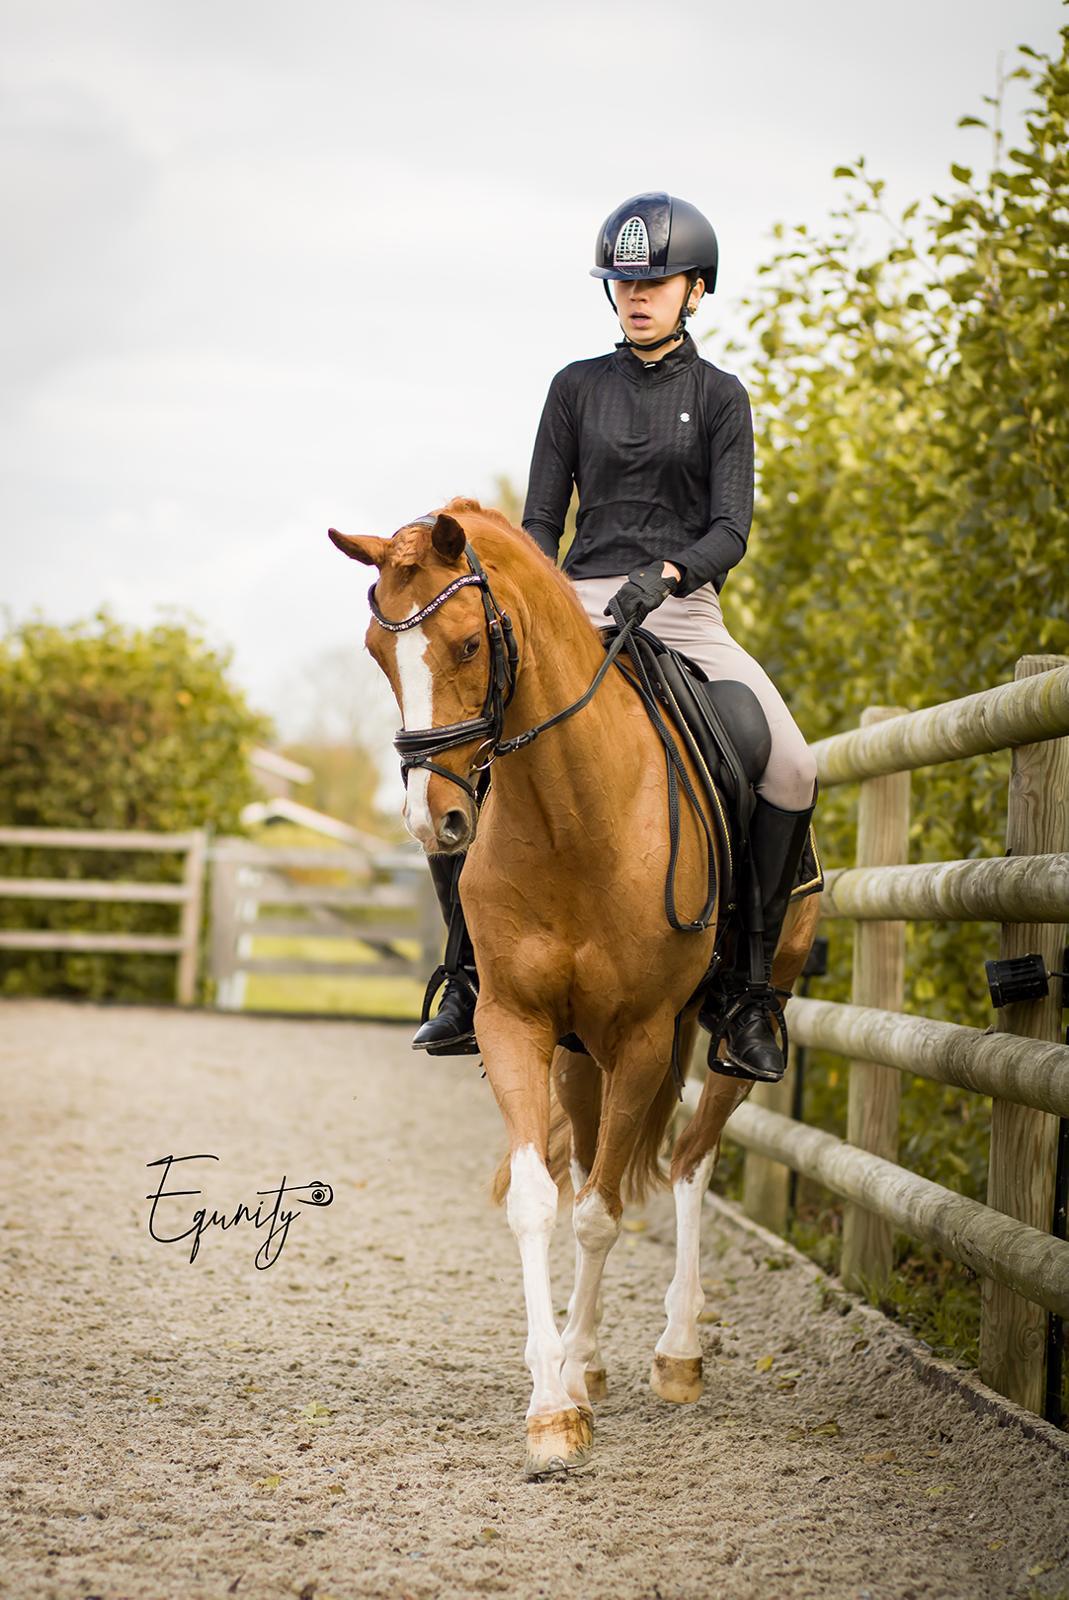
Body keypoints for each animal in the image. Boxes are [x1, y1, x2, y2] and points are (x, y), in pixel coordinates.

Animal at [329, 498, 820, 1478]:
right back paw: (585, 1357)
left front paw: (566, 1399)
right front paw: (555, 1398)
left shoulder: (640, 1035)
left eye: (467, 644)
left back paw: (677, 1350)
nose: (435, 822)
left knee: (687, 1161)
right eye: (376, 650)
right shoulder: (516, 1023)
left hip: (716, 1038)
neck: (571, 813)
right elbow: (540, 1202)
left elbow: (598, 1214)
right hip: (579, 1055)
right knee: (607, 1159)